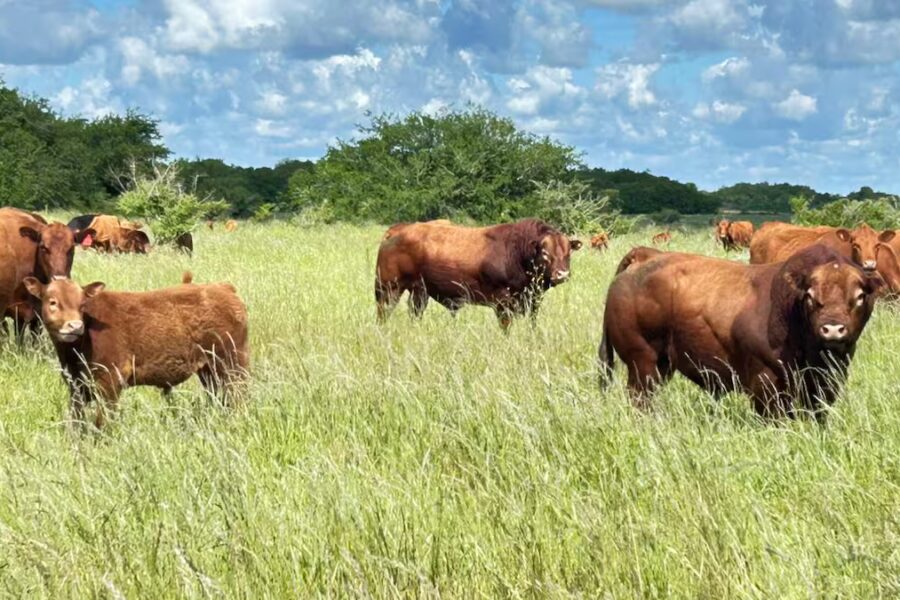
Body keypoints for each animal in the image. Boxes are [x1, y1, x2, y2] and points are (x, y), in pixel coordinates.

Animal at [23, 273, 250, 429]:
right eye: (53, 302)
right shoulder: (76, 386)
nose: (75, 326)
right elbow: (77, 421)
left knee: (239, 397)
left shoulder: (110, 381)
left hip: (233, 363)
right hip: (209, 370)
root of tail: (223, 287)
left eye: (83, 304)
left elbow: (102, 423)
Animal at [375, 219, 582, 329]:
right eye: (545, 253)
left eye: (568, 252)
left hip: (419, 292)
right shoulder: (503, 302)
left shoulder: (533, 300)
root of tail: (399, 229)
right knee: (383, 313)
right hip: (388, 289)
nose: (562, 274)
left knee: (415, 312)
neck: (517, 253)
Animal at [598, 245, 882, 419]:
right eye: (810, 296)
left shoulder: (827, 380)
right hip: (642, 363)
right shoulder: (766, 384)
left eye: (859, 296)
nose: (832, 328)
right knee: (640, 398)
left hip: (663, 364)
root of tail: (644, 256)